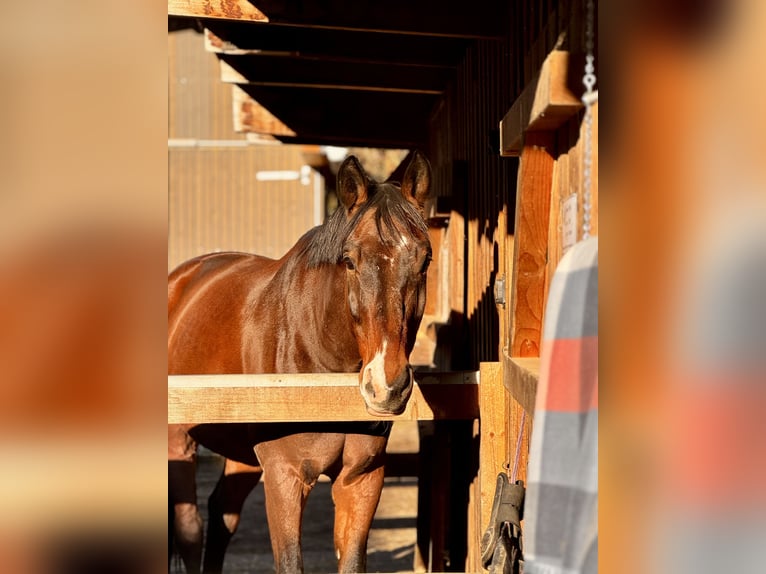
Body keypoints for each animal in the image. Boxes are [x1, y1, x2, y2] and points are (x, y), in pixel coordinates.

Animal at [168, 152, 432, 573]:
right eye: (349, 261)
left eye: (424, 260)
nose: (386, 387)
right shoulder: (285, 477)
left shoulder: (362, 478)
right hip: (178, 443)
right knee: (190, 532)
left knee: (221, 514)